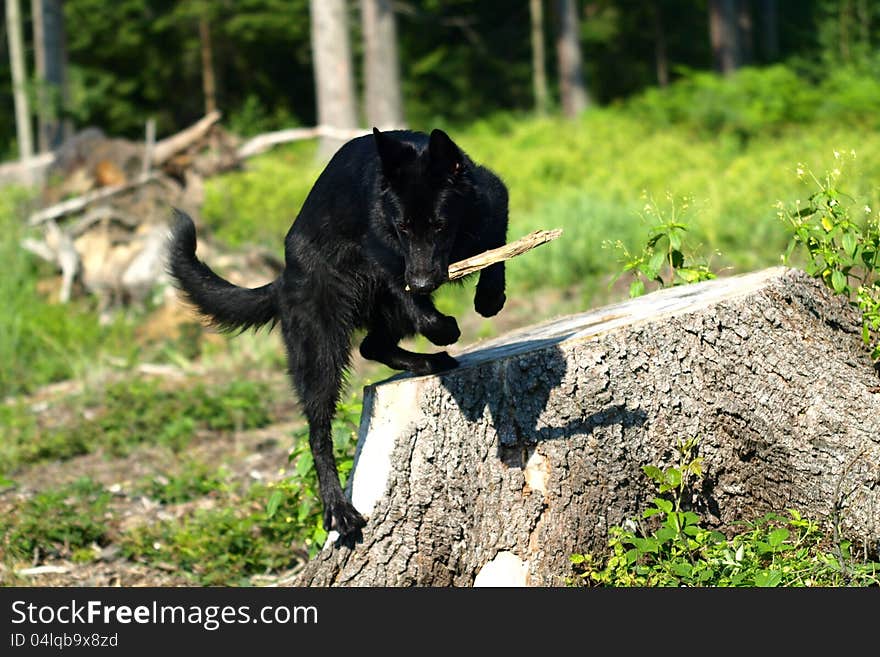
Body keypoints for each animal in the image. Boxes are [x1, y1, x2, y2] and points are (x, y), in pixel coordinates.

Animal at [168, 128, 508, 544]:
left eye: (440, 224)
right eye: (403, 227)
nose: (423, 282)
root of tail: (284, 277)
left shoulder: (493, 202)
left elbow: (497, 250)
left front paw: (490, 296)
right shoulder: (387, 260)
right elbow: (419, 306)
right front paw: (443, 325)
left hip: (375, 319)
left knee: (372, 345)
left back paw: (427, 361)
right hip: (321, 353)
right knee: (318, 432)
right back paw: (338, 508)